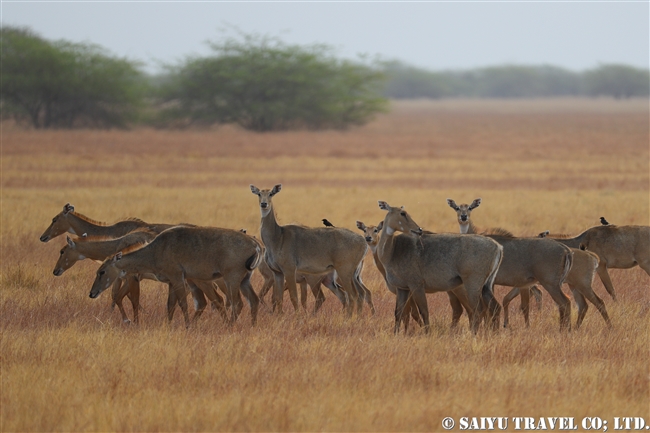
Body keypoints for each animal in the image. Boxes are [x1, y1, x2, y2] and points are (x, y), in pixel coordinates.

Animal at [88, 226, 260, 324]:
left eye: (102, 271)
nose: (92, 293)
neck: (156, 250)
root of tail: (255, 244)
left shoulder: (178, 278)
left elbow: (183, 304)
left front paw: (187, 326)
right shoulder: (171, 282)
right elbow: (170, 305)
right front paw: (169, 325)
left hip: (232, 279)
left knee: (237, 303)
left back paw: (230, 326)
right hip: (244, 280)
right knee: (253, 300)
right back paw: (252, 325)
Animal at [248, 184, 372, 316]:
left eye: (271, 193)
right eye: (259, 194)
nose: (264, 204)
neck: (277, 236)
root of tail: (363, 240)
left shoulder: (289, 270)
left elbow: (294, 296)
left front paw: (297, 316)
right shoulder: (277, 273)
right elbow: (278, 297)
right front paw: (279, 316)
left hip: (344, 271)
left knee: (353, 295)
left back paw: (348, 318)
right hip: (351, 275)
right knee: (358, 294)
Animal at [374, 201, 502, 332]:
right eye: (402, 213)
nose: (419, 230)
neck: (392, 250)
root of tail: (498, 246)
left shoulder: (416, 285)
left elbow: (424, 311)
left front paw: (427, 333)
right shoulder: (402, 288)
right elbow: (398, 313)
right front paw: (396, 334)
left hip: (472, 284)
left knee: (478, 310)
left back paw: (474, 334)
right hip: (486, 286)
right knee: (494, 307)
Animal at [446, 197, 572, 330]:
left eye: (470, 207)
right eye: (457, 208)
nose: (463, 217)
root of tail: (566, 249)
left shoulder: (489, 282)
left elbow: (487, 309)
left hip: (550, 283)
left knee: (565, 302)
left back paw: (564, 330)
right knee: (564, 303)